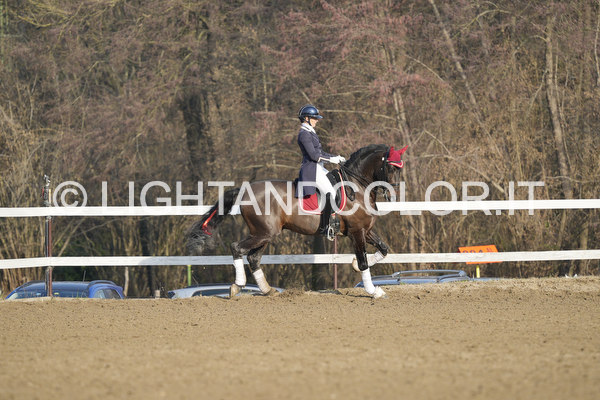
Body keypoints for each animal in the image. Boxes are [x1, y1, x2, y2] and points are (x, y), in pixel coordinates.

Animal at [186, 143, 407, 298]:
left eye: (399, 169)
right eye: (390, 167)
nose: (393, 195)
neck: (357, 187)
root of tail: (244, 190)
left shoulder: (365, 230)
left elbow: (384, 249)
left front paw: (353, 265)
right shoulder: (357, 231)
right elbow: (363, 262)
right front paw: (374, 291)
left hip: (265, 234)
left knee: (253, 258)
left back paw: (267, 290)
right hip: (263, 233)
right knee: (237, 248)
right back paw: (237, 286)